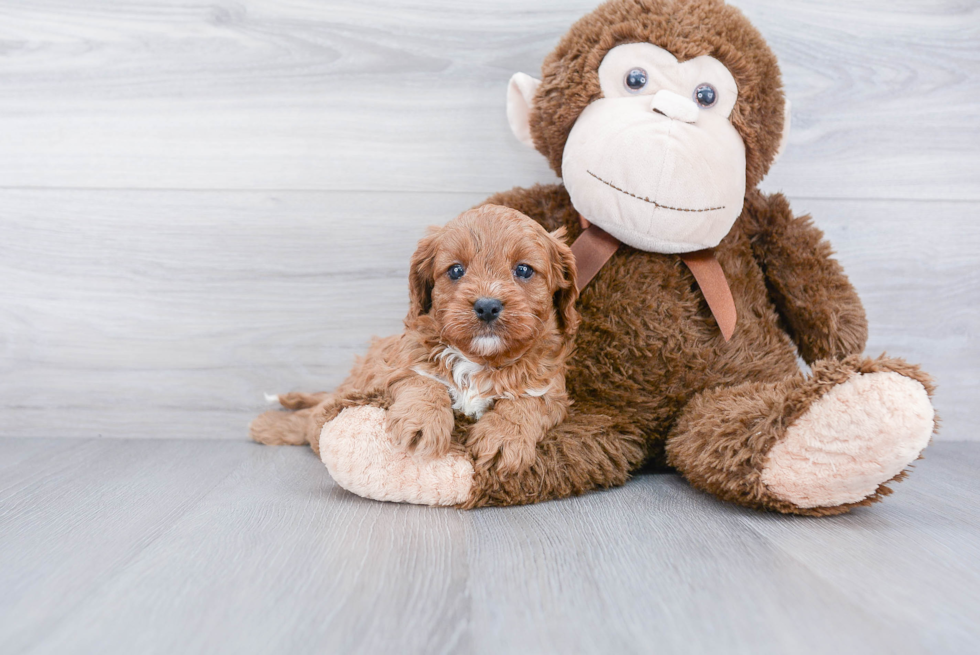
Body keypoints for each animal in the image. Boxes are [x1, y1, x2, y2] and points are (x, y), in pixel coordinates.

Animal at [249, 205, 580, 476]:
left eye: (523, 269)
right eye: (456, 270)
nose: (487, 306)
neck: (480, 360)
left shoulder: (552, 389)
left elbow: (527, 402)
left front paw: (503, 437)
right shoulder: (395, 365)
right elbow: (423, 381)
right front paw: (423, 423)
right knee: (313, 415)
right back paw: (268, 425)